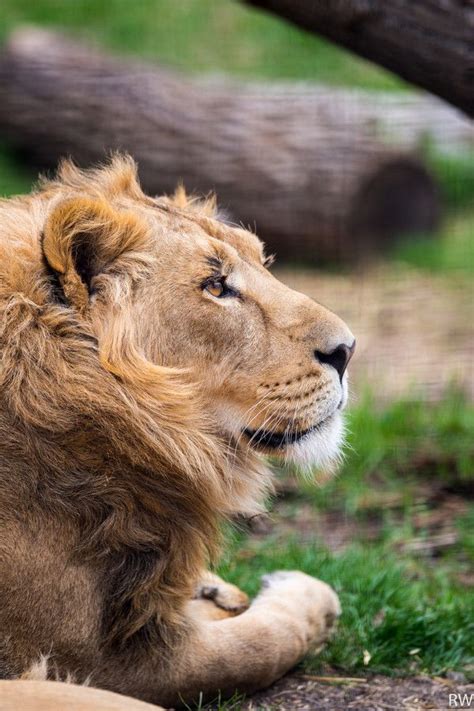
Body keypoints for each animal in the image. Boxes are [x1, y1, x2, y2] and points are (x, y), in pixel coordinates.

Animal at [0, 156, 356, 711]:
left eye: (262, 261)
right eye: (216, 286)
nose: (347, 350)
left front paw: (213, 592)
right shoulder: (97, 660)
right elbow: (259, 645)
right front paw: (301, 595)